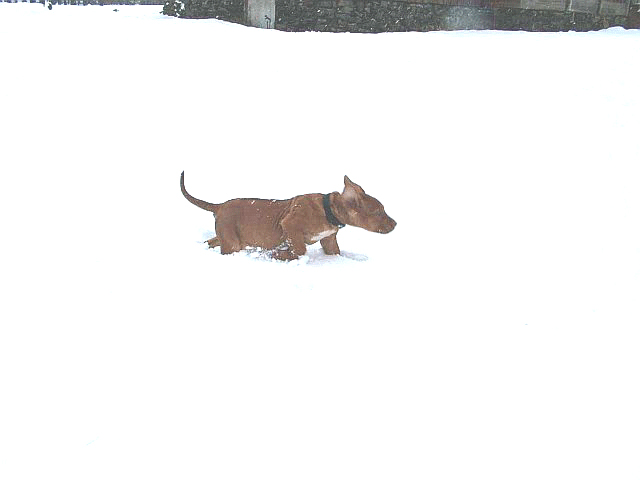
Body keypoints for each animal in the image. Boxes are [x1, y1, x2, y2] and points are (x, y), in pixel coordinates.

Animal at [181, 172, 396, 260]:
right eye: (378, 211)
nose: (396, 224)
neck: (328, 210)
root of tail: (219, 206)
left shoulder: (329, 240)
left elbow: (335, 252)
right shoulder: (290, 224)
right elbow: (300, 250)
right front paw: (279, 254)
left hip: (227, 237)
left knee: (210, 241)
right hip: (232, 243)